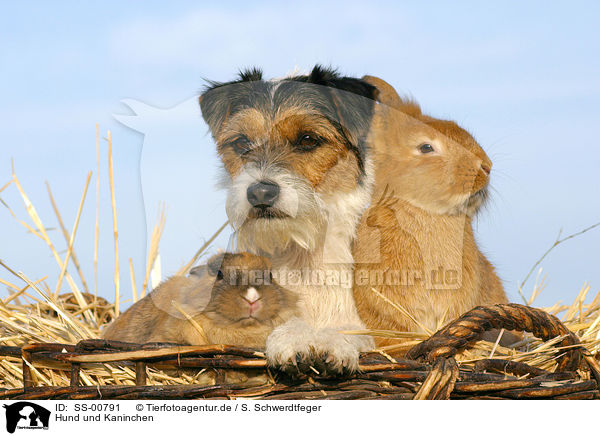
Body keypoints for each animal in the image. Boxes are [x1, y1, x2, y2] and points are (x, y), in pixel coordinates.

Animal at [199, 65, 378, 374]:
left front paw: (335, 341)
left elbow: (352, 330)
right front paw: (292, 337)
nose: (260, 192)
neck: (300, 252)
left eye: (308, 139)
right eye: (242, 142)